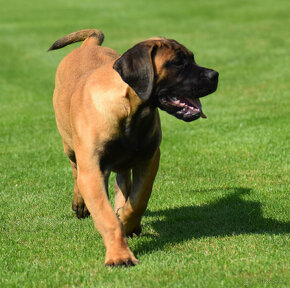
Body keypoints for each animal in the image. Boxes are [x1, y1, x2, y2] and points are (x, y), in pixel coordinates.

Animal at [48, 28, 219, 266]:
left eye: (192, 59)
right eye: (177, 63)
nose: (215, 75)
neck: (130, 111)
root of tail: (89, 45)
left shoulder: (149, 158)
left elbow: (138, 199)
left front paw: (127, 222)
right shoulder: (92, 169)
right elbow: (107, 217)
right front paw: (119, 255)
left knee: (123, 183)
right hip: (70, 145)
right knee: (76, 170)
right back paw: (80, 203)